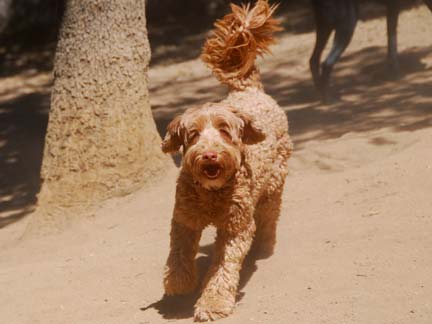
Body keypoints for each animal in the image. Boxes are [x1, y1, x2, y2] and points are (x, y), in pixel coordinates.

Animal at [160, 0, 292, 322]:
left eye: (224, 130)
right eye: (193, 134)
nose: (209, 154)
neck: (212, 194)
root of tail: (249, 90)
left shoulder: (235, 226)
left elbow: (224, 266)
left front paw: (213, 303)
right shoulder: (185, 218)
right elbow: (178, 252)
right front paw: (179, 281)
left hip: (274, 184)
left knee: (269, 216)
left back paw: (264, 248)